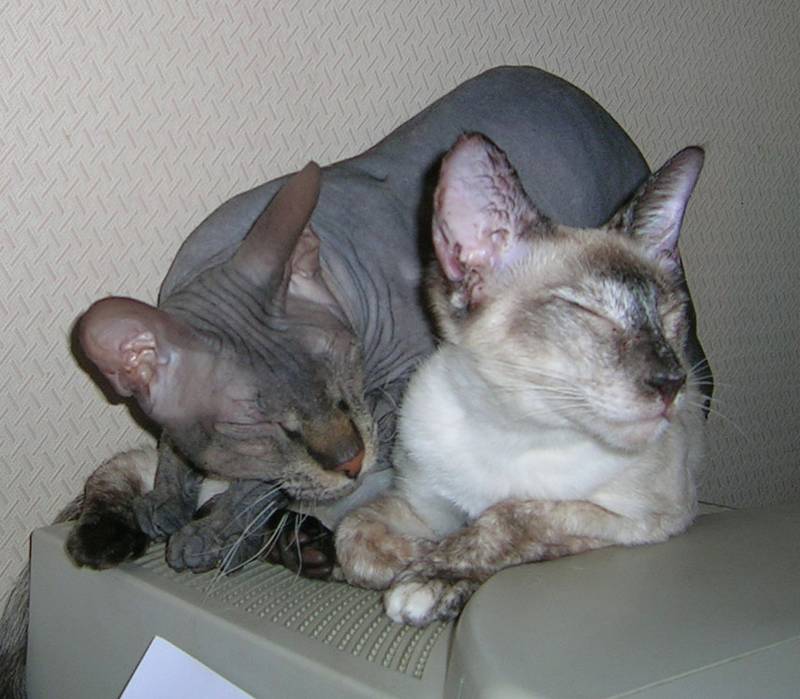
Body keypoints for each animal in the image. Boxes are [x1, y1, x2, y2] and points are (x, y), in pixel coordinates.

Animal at [335, 133, 707, 627]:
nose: (672, 382)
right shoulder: (421, 503)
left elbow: (512, 515)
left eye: (668, 316)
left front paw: (433, 577)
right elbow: (353, 534)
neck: (508, 430)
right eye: (591, 312)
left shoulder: (650, 517)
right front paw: (416, 560)